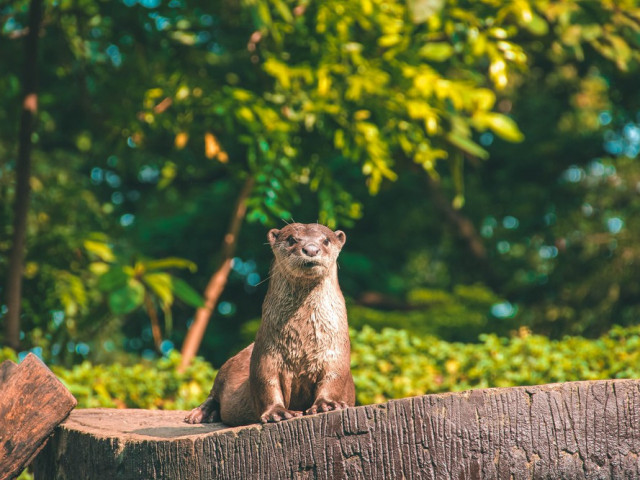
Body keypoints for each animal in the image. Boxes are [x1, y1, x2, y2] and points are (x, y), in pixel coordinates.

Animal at [185, 223, 356, 426]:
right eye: (291, 239)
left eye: (326, 240)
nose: (311, 249)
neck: (303, 341)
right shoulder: (267, 354)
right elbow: (266, 383)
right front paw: (278, 412)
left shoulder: (335, 350)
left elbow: (333, 377)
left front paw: (327, 405)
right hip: (225, 369)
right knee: (213, 394)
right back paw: (200, 414)